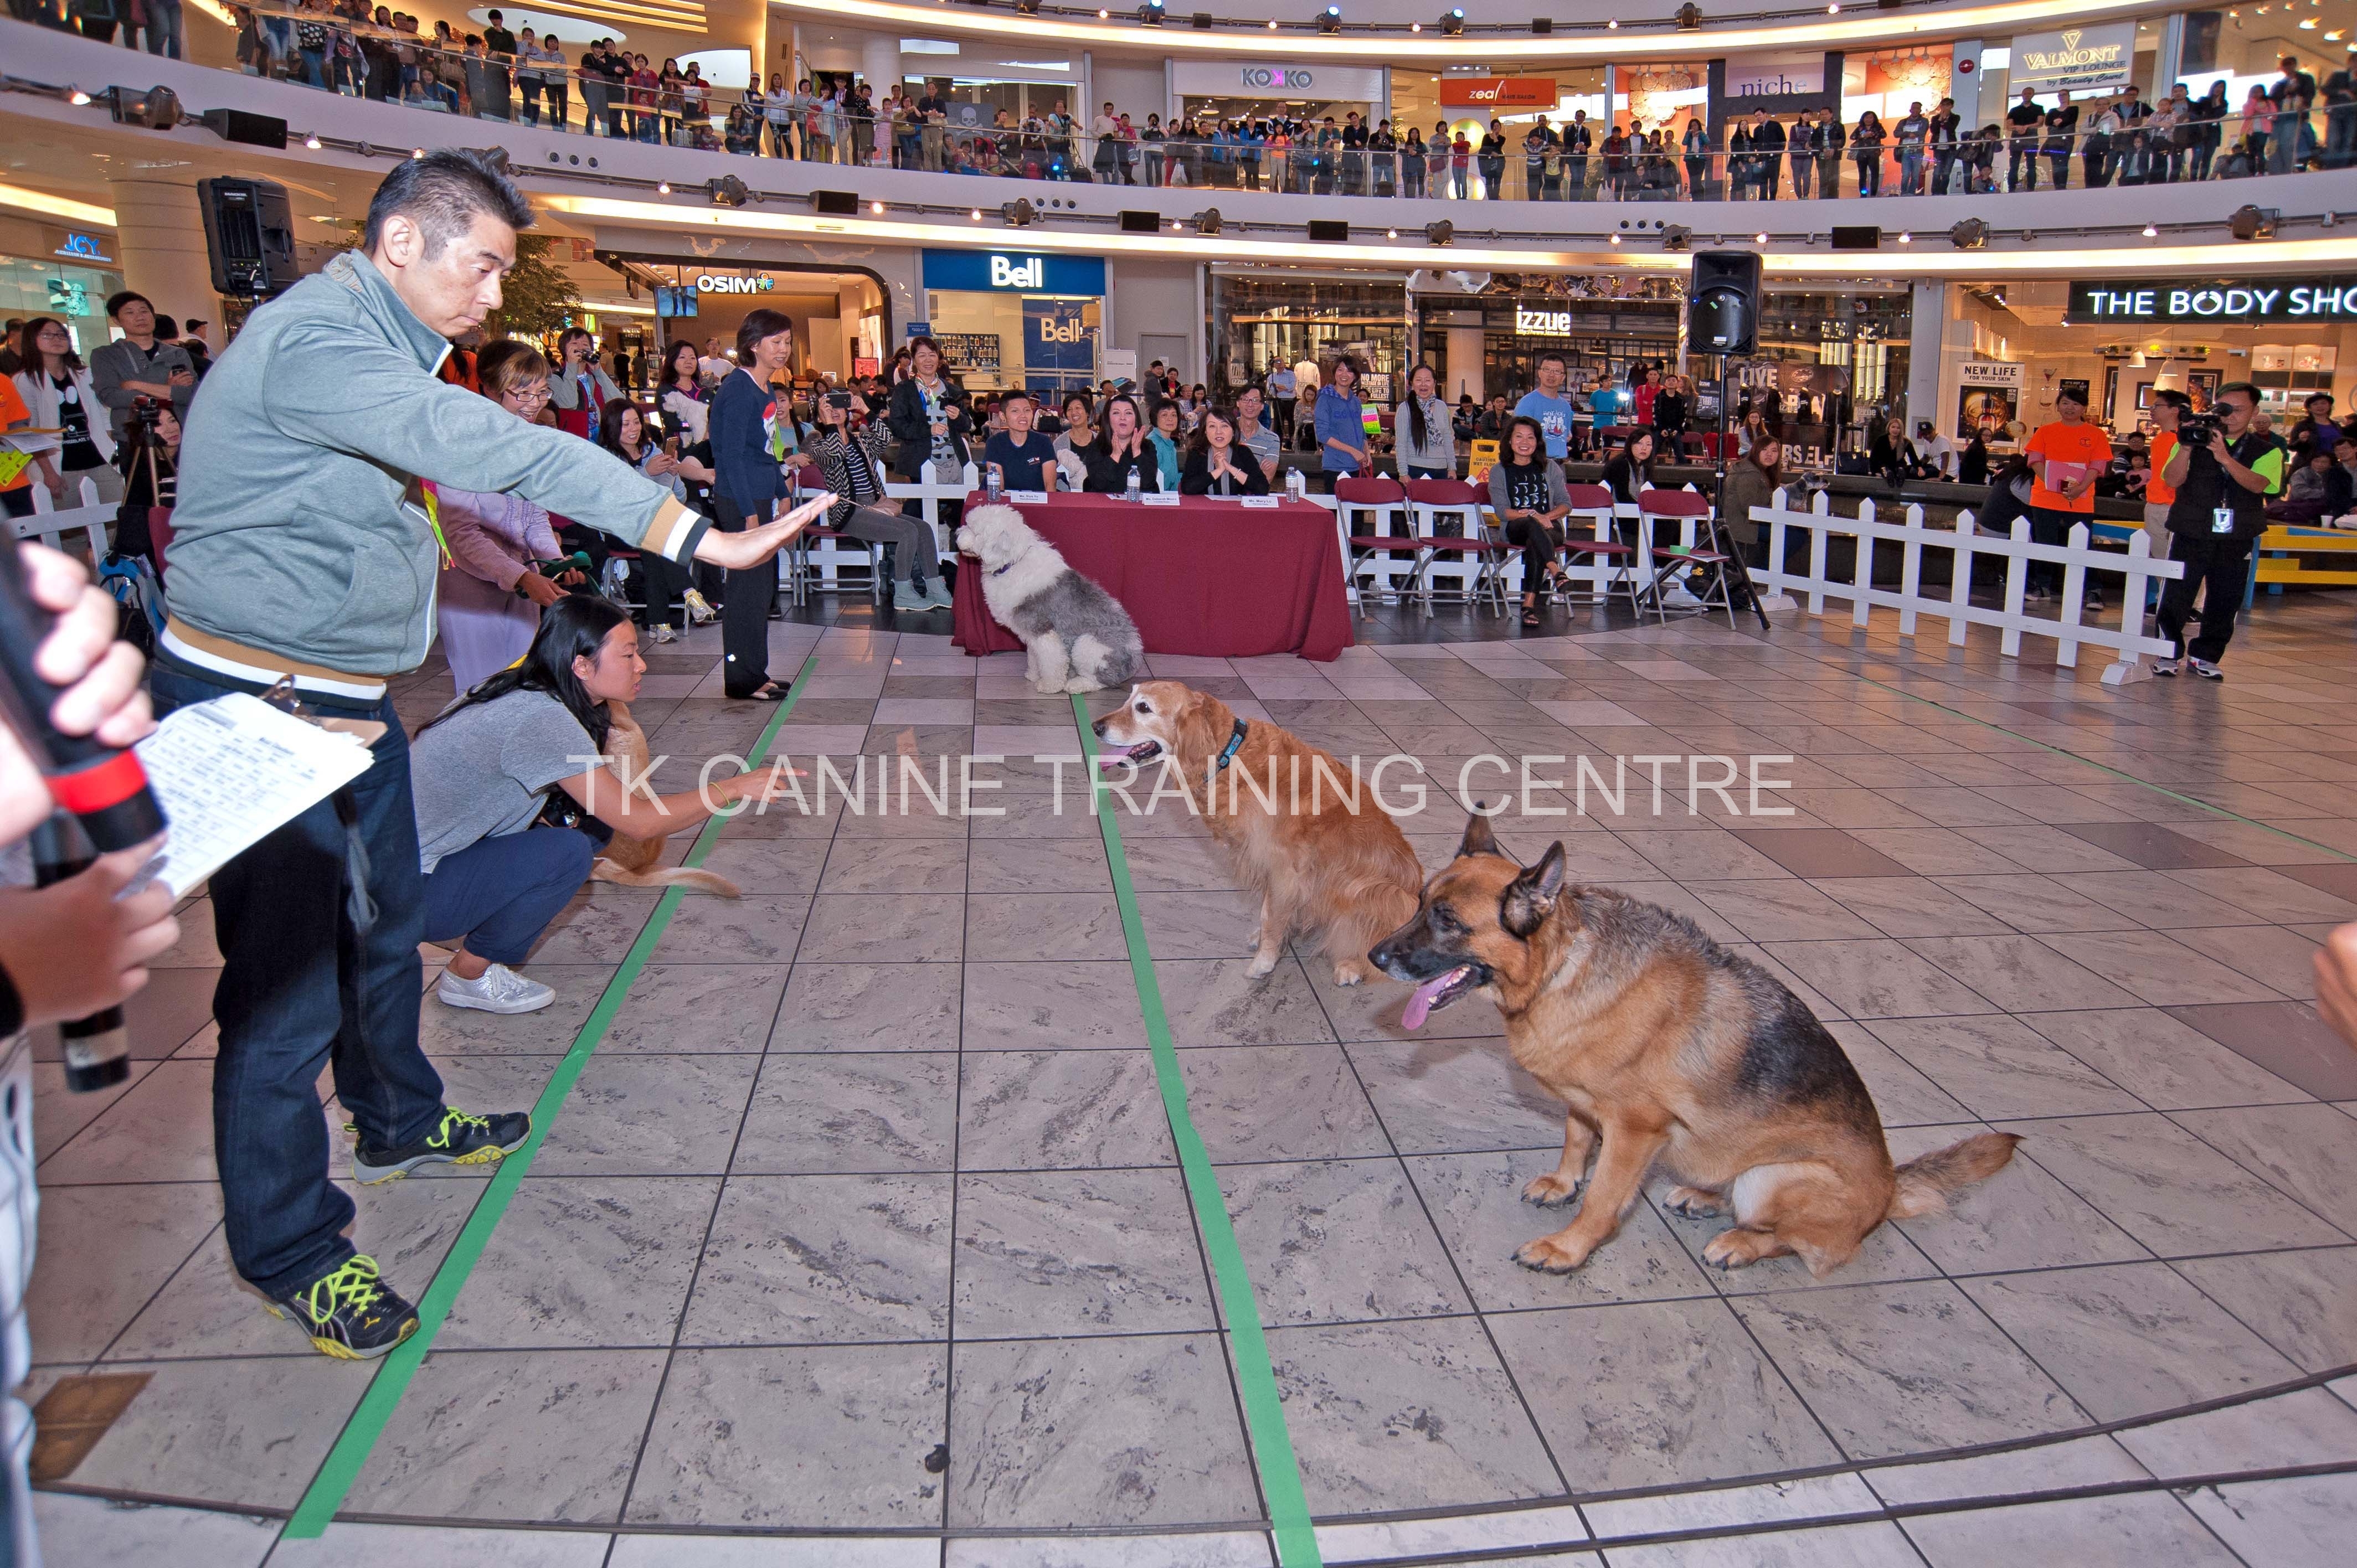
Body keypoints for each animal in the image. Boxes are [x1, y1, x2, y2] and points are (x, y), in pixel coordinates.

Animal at [954, 504, 1144, 695]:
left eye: (974, 530)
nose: (955, 535)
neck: (1013, 563)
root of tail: (1135, 658)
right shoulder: (1031, 634)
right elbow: (1034, 657)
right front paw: (1033, 675)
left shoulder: (1044, 631)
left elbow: (1052, 660)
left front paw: (1049, 685)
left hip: (1088, 645)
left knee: (1101, 680)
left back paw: (1076, 684)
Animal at [1093, 680, 1422, 986]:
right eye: (1129, 699)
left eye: (1143, 708)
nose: (1096, 727)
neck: (1226, 755)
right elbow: (1270, 914)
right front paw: (1267, 939)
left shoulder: (1285, 871)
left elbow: (1271, 918)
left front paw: (1264, 961)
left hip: (1378, 891)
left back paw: (1350, 965)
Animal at [1371, 813, 2018, 1278]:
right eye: (1420, 902)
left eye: (1447, 920)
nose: (1375, 957)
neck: (1561, 970)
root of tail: (1887, 1191)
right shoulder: (1584, 1104)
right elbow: (1577, 1139)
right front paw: (1562, 1181)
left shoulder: (1636, 1131)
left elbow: (1602, 1199)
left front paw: (1569, 1248)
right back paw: (1705, 1197)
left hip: (1773, 1179)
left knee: (1797, 1243)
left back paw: (1739, 1242)